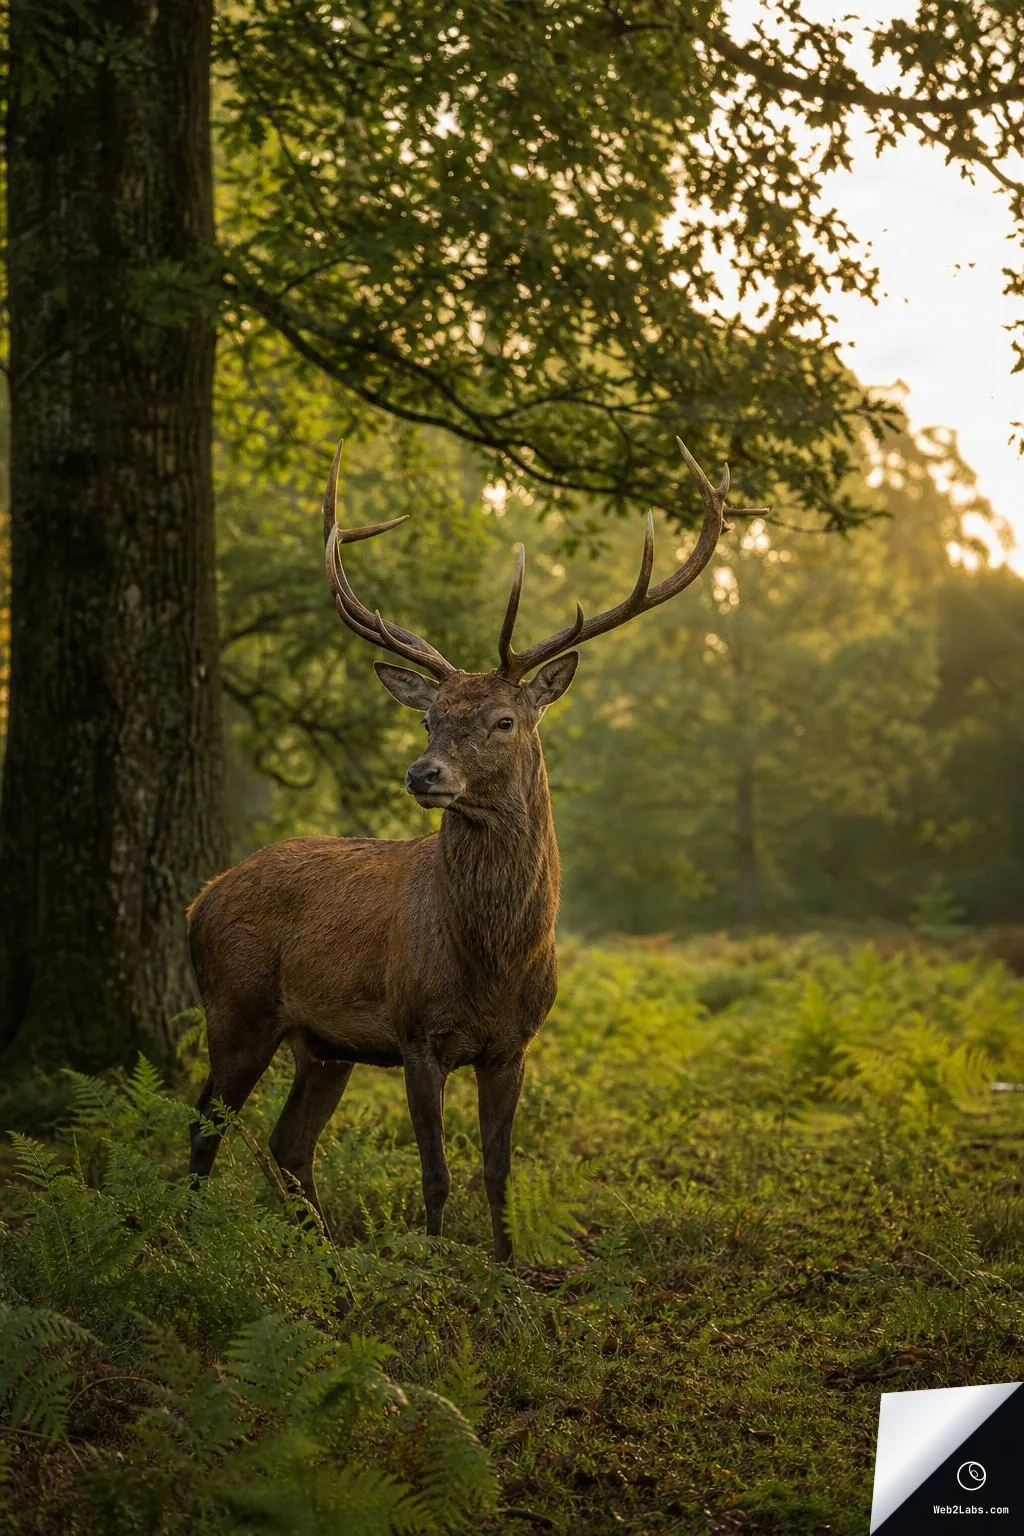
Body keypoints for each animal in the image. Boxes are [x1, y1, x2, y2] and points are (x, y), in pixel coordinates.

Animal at [187, 436, 744, 1261]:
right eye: (429, 719)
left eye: (504, 720)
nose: (424, 774)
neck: (491, 960)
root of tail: (200, 899)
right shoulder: (416, 1033)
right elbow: (436, 1173)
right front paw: (432, 1261)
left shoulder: (514, 1044)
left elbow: (498, 1171)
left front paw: (505, 1267)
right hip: (236, 1006)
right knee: (204, 1127)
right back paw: (184, 1234)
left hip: (322, 1044)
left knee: (289, 1146)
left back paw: (325, 1253)